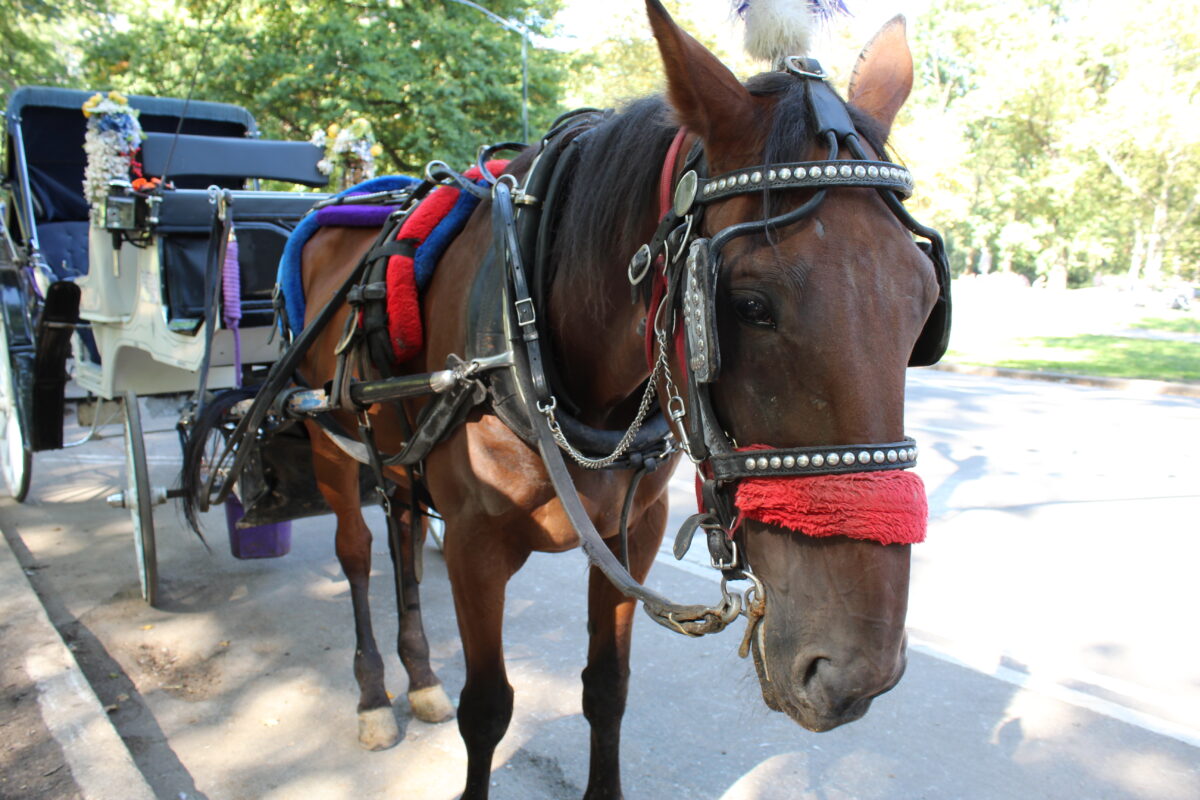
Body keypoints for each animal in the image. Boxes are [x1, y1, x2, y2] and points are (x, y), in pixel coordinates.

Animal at [204, 3, 945, 796]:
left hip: (398, 456)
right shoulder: (473, 547)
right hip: (329, 441)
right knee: (358, 553)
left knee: (402, 533)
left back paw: (420, 677)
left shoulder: (633, 538)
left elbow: (607, 689)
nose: (856, 675)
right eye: (748, 305)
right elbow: (488, 708)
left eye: (927, 305)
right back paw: (375, 695)